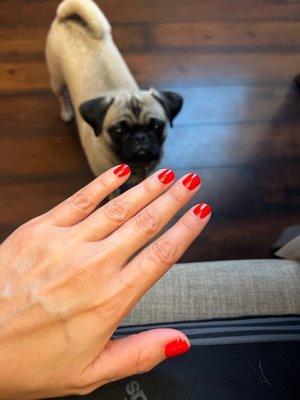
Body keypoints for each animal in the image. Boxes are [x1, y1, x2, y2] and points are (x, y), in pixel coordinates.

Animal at [46, 0, 183, 186]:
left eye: (156, 126)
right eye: (118, 131)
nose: (140, 137)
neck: (135, 166)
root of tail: (68, 19)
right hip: (57, 79)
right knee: (62, 95)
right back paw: (66, 111)